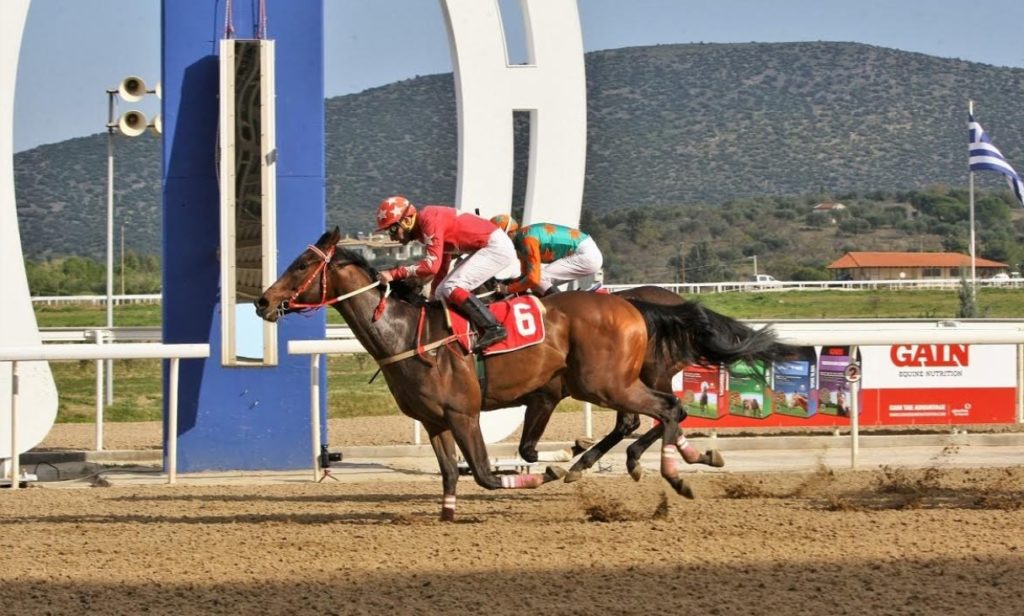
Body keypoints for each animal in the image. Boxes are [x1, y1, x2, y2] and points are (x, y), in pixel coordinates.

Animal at [256, 229, 753, 517]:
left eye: (303, 264)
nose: (263, 300)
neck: (404, 334)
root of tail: (633, 305)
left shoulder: (464, 413)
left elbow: (484, 473)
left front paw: (549, 471)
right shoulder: (434, 420)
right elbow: (452, 473)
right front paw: (447, 515)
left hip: (607, 383)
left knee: (666, 408)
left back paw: (672, 472)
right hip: (603, 383)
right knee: (655, 415)